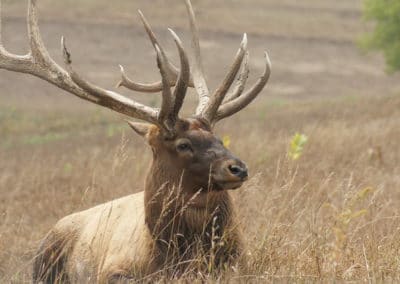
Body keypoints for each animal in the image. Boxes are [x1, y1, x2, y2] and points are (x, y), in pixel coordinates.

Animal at [0, 0, 272, 282]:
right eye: (182, 144)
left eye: (217, 137)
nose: (237, 168)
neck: (174, 256)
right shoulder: (114, 270)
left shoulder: (241, 263)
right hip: (43, 263)